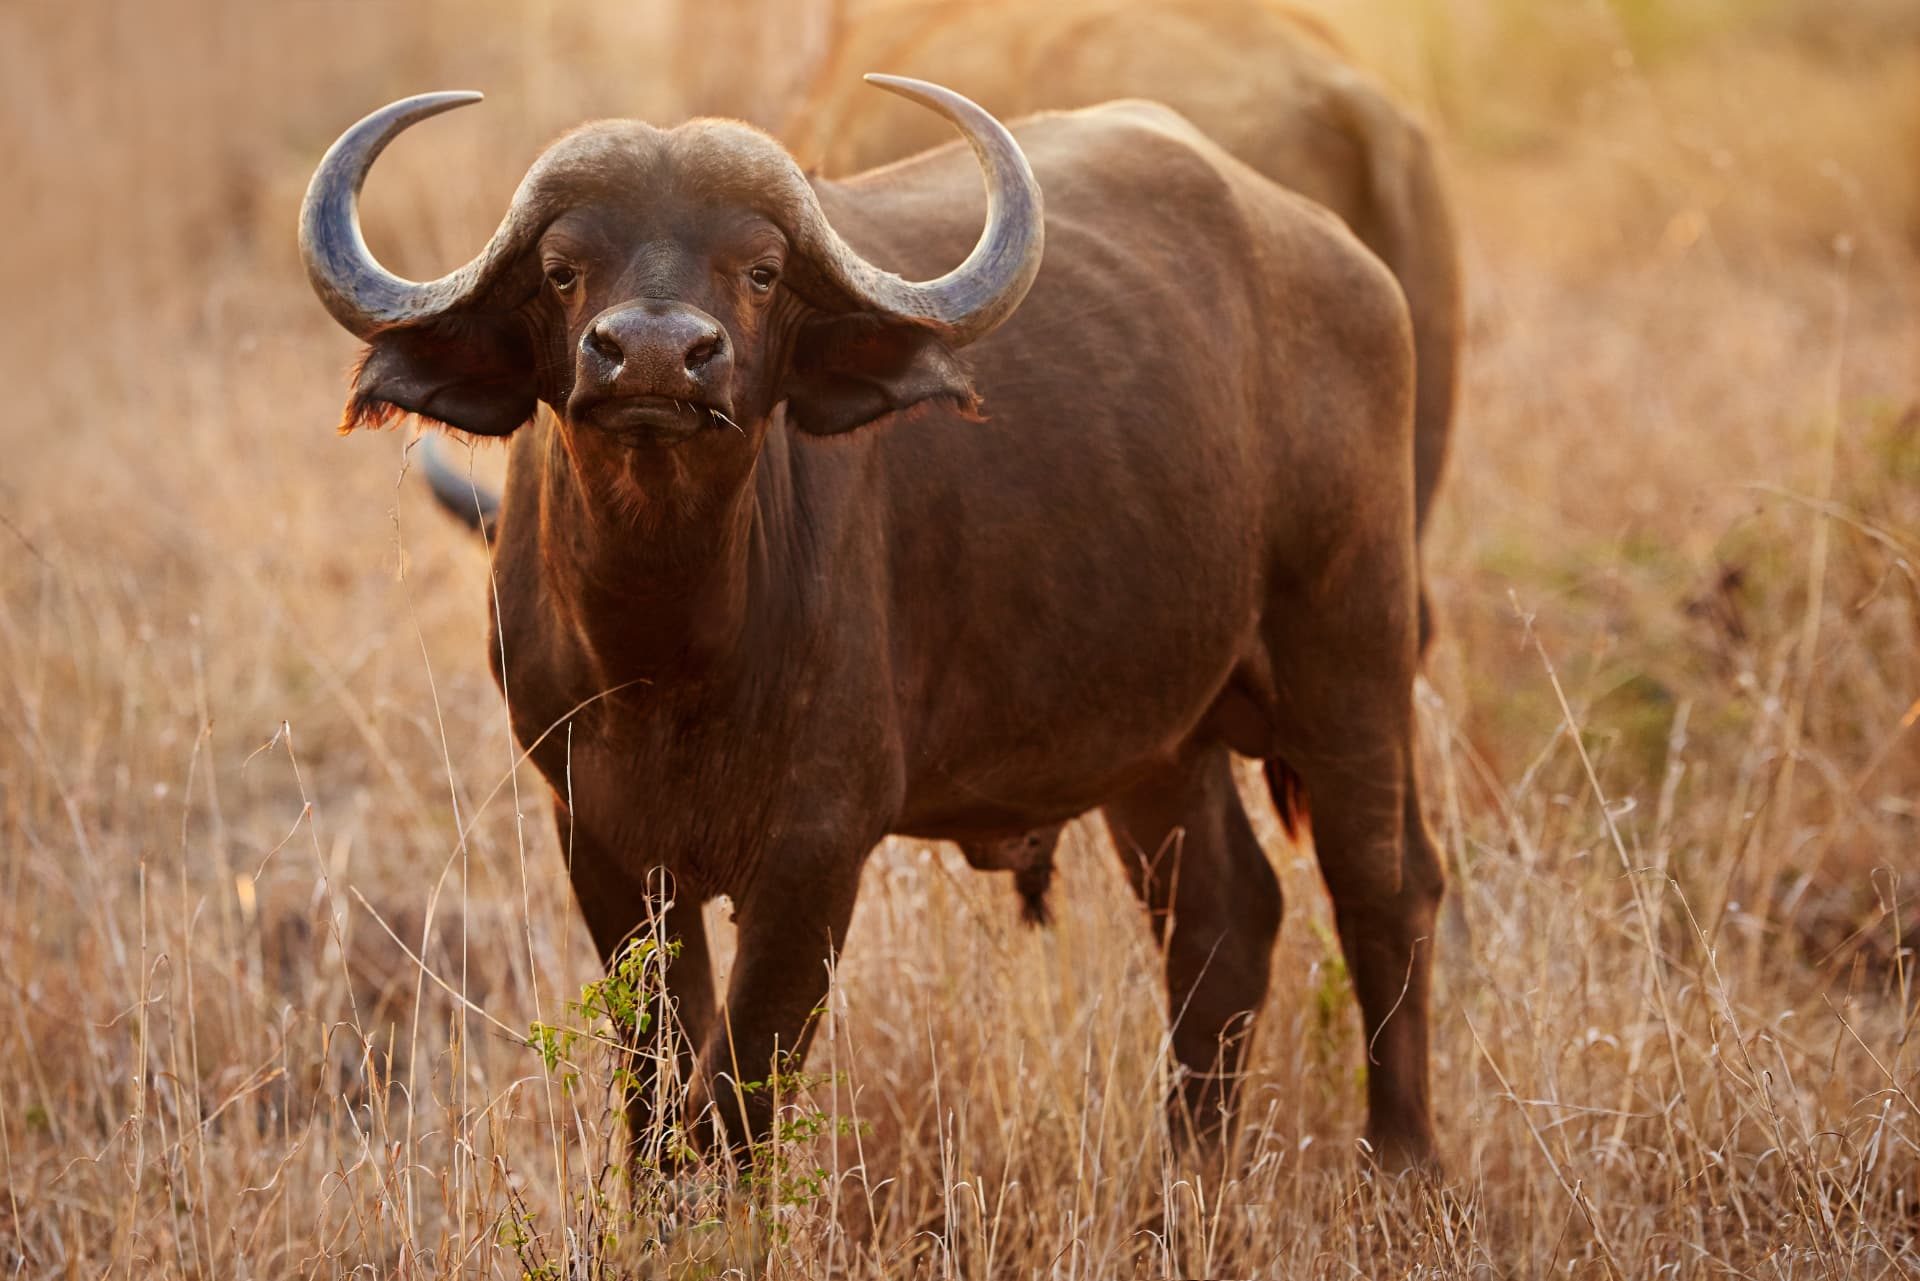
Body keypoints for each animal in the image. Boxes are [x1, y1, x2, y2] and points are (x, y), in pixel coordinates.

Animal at [300, 76, 1443, 1171]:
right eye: (562, 268)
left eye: (761, 270)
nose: (658, 358)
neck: (670, 656)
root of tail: (1349, 266)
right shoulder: (600, 840)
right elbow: (658, 1094)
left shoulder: (818, 851)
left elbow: (735, 1097)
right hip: (1160, 738)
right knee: (1221, 921)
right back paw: (1188, 1171)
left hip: (1354, 653)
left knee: (1385, 888)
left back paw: (1400, 1161)